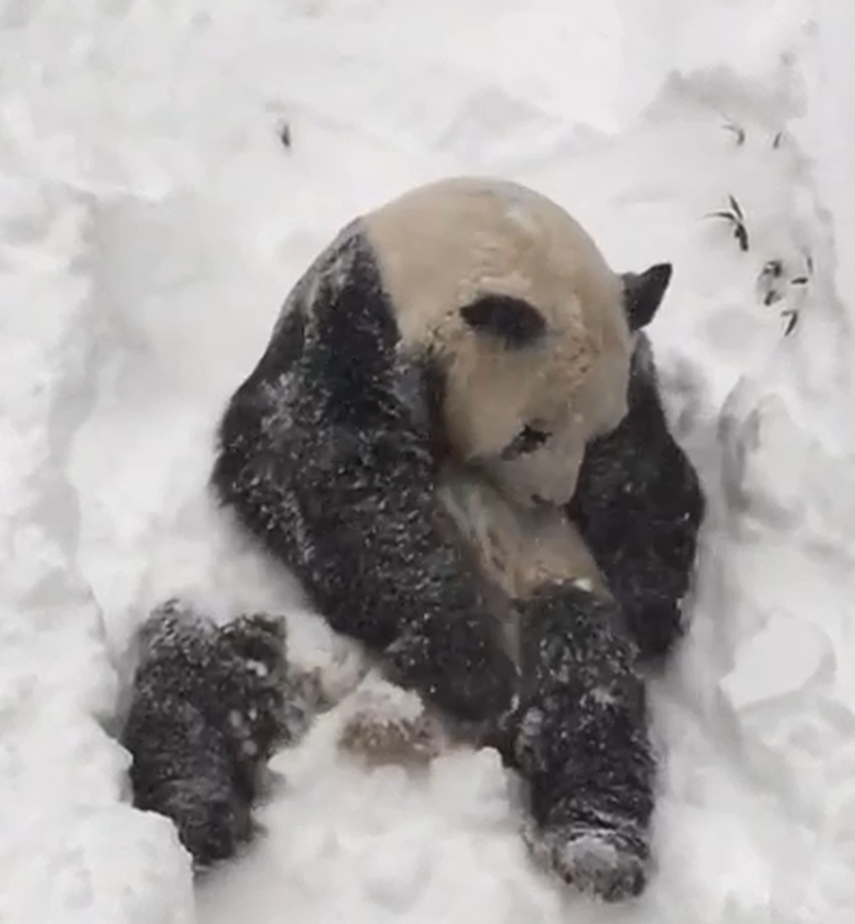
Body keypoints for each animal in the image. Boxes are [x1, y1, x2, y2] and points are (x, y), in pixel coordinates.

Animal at [121, 177, 704, 902]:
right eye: (529, 433)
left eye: (592, 432)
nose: (548, 502)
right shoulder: (350, 325)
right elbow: (328, 470)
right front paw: (463, 659)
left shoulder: (630, 370)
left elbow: (648, 474)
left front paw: (652, 606)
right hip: (263, 625)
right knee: (190, 662)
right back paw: (199, 808)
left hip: (549, 592)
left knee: (589, 682)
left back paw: (597, 845)